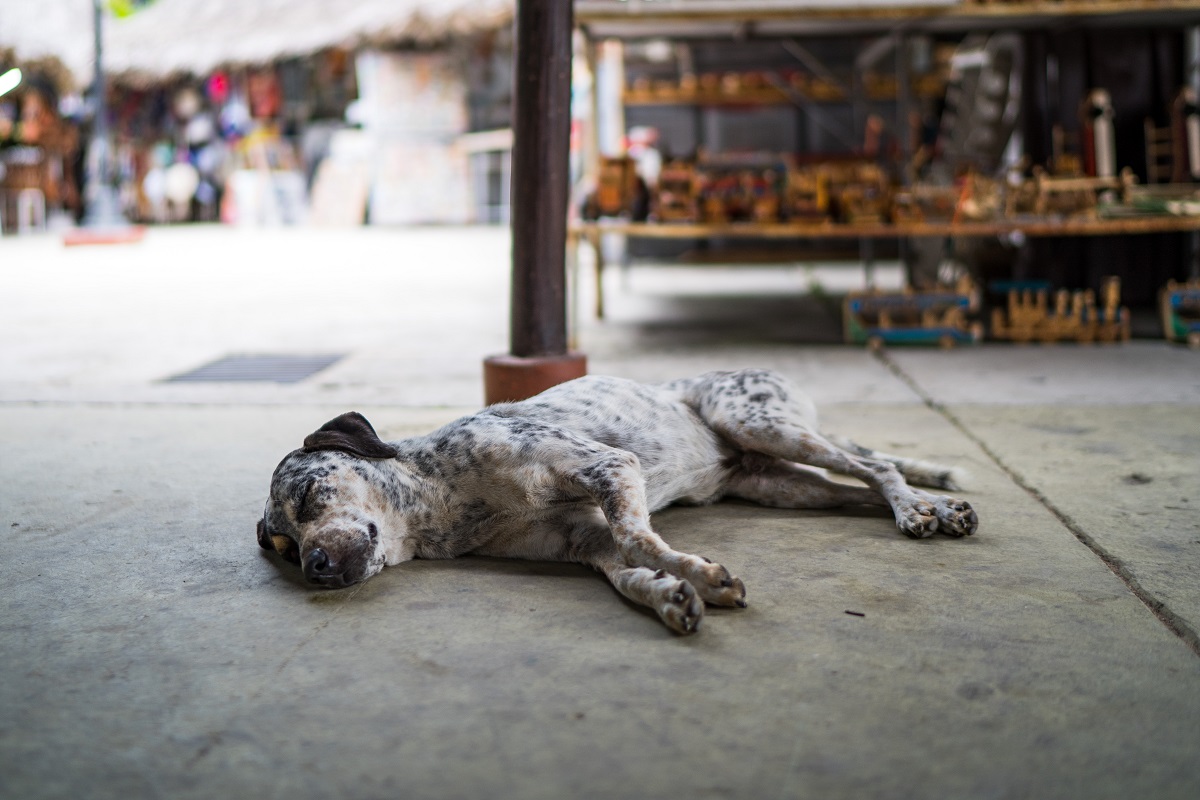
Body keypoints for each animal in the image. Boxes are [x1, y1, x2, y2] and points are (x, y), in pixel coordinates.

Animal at [258, 371, 979, 638]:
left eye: (309, 493)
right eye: (285, 547)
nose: (314, 567)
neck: (448, 502)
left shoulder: (610, 469)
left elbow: (639, 538)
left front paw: (704, 576)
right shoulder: (584, 542)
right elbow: (628, 569)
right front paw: (673, 595)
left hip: (759, 422)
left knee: (876, 465)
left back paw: (918, 510)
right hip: (782, 484)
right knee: (857, 488)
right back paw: (939, 509)